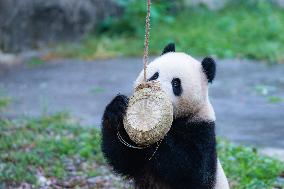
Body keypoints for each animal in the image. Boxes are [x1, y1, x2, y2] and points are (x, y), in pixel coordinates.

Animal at [101, 43, 230, 189]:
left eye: (176, 83)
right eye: (154, 75)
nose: (154, 89)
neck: (177, 118)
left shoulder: (201, 128)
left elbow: (194, 171)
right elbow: (125, 160)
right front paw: (117, 107)